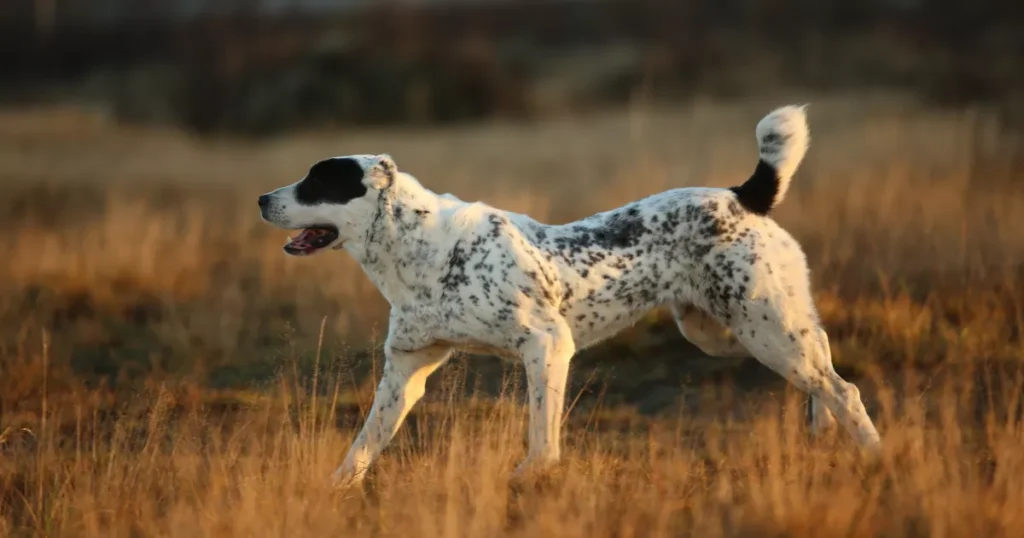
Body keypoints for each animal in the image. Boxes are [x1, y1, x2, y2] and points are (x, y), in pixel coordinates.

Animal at [256, 105, 880, 485]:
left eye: (318, 180)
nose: (261, 198)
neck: (419, 252)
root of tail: (741, 195)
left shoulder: (547, 345)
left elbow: (542, 434)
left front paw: (531, 476)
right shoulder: (406, 371)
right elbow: (362, 445)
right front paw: (335, 490)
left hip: (761, 328)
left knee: (842, 387)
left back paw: (875, 454)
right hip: (730, 333)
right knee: (822, 362)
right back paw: (824, 433)